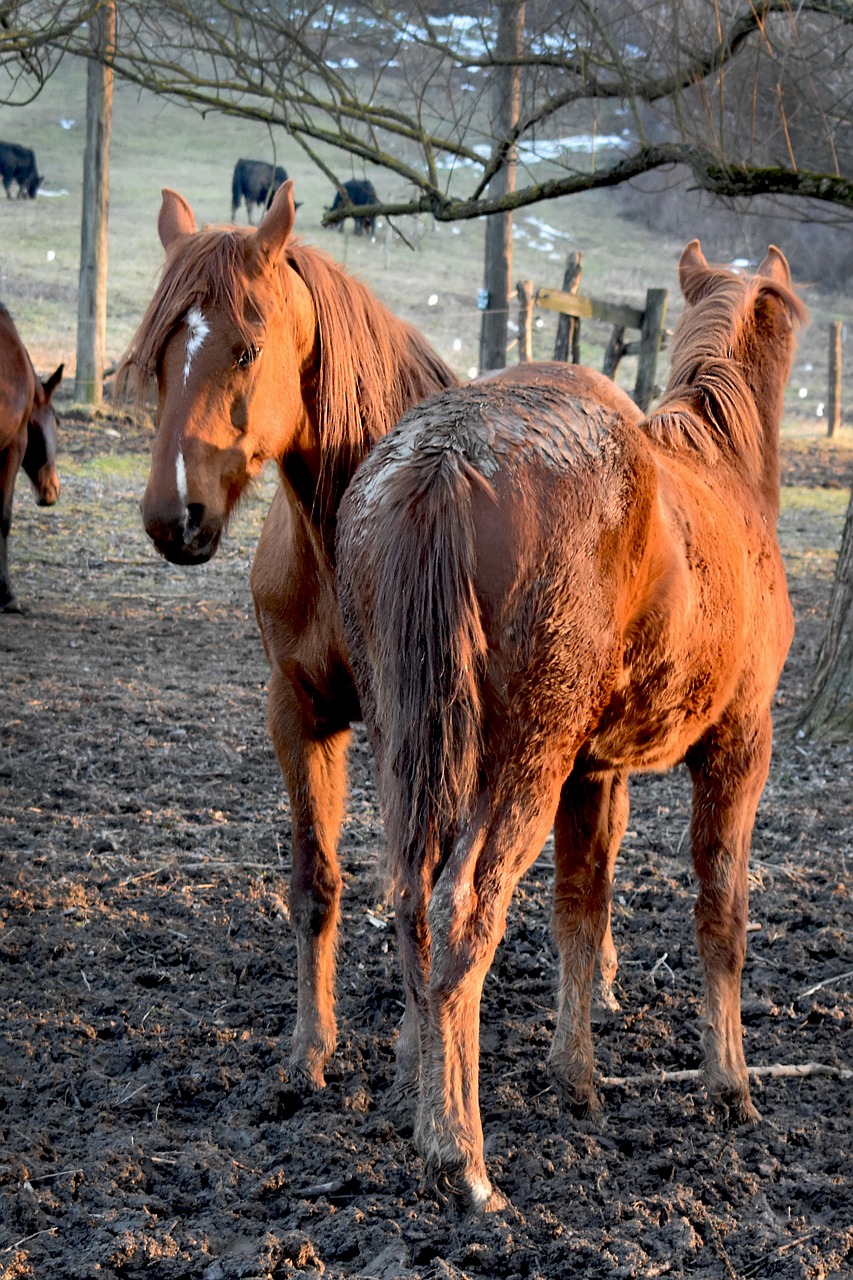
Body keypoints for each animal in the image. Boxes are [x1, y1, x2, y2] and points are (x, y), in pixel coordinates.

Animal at [119, 180, 458, 1090]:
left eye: (245, 350)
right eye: (157, 359)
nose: (173, 518)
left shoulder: (406, 724)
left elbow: (410, 877)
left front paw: (412, 1046)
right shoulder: (297, 713)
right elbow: (314, 884)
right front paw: (310, 1049)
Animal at [335, 241, 809, 1208]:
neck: (722, 477)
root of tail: (445, 454)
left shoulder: (594, 773)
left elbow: (580, 914)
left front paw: (576, 1075)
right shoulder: (738, 749)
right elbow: (722, 913)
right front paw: (728, 1085)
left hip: (410, 746)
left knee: (410, 900)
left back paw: (421, 1091)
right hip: (526, 760)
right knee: (464, 907)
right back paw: (460, 1155)